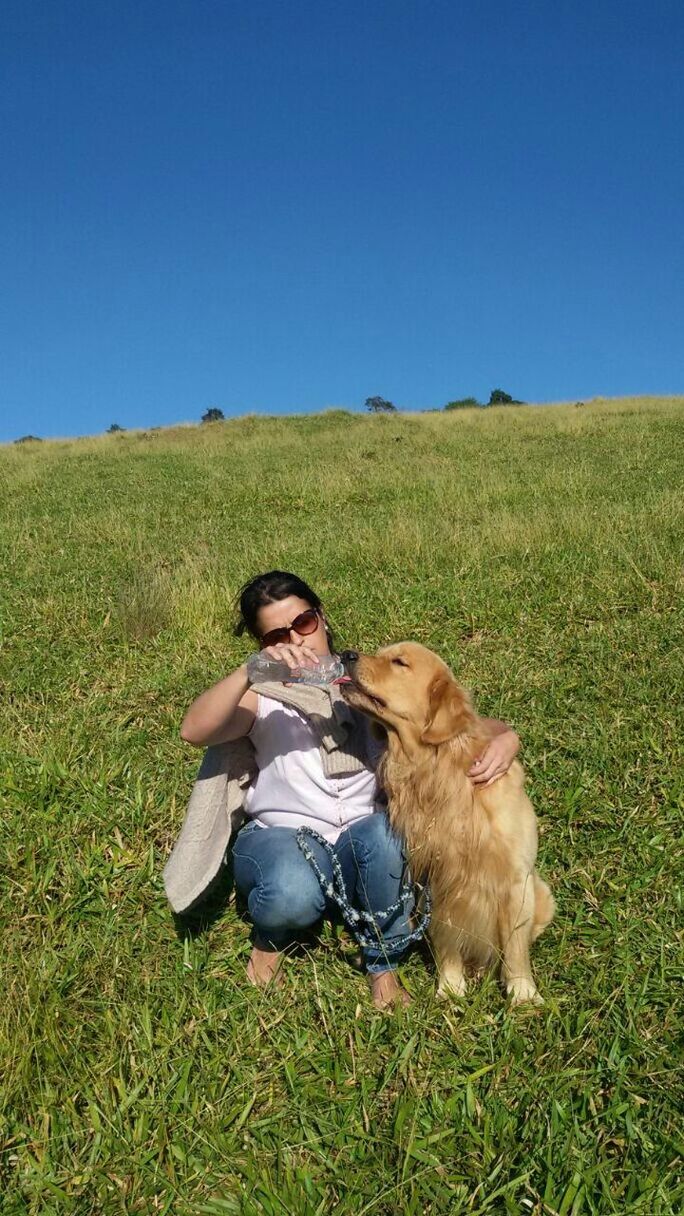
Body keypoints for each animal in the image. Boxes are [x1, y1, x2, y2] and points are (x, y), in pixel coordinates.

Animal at [340, 642, 554, 1001]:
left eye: (399, 662)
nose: (346, 654)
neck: (437, 770)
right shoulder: (438, 880)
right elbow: (447, 941)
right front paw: (451, 989)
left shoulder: (515, 882)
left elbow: (515, 949)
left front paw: (523, 994)